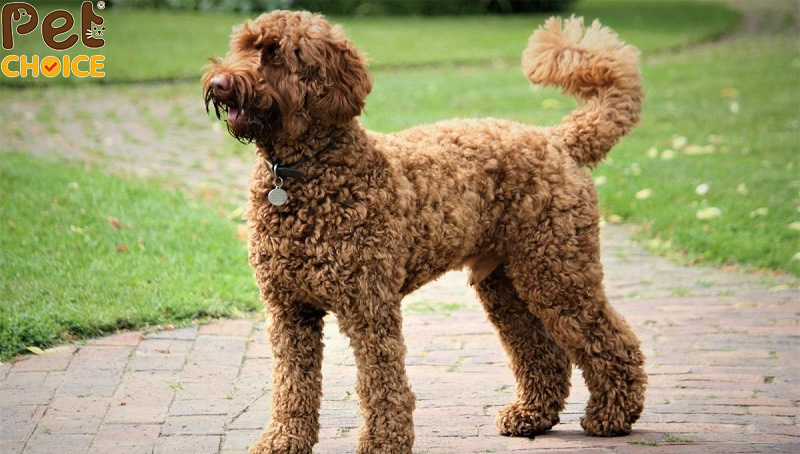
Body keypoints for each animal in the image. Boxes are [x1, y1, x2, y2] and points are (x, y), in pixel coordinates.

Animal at [203, 11, 647, 454]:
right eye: (241, 47)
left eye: (276, 56)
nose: (219, 83)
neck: (304, 171)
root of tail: (560, 140)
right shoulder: (288, 310)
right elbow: (292, 384)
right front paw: (283, 440)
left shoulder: (369, 306)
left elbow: (381, 383)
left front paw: (383, 443)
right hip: (507, 285)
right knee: (541, 351)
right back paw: (531, 414)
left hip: (557, 271)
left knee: (611, 340)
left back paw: (612, 415)